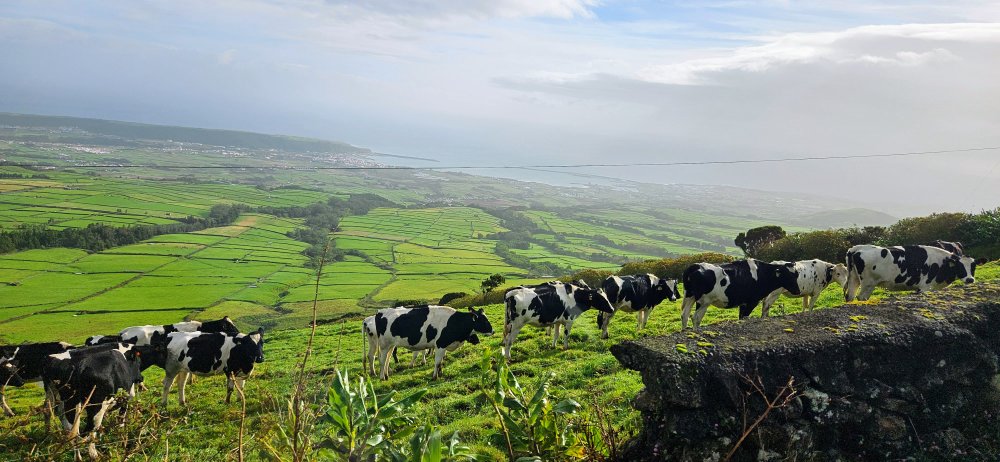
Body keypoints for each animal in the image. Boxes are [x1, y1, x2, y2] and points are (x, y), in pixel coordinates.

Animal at [844, 244, 984, 302]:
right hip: (868, 283)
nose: (970, 279)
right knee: (861, 298)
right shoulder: (926, 287)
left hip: (854, 279)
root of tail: (858, 248)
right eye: (960, 266)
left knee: (850, 297)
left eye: (973, 266)